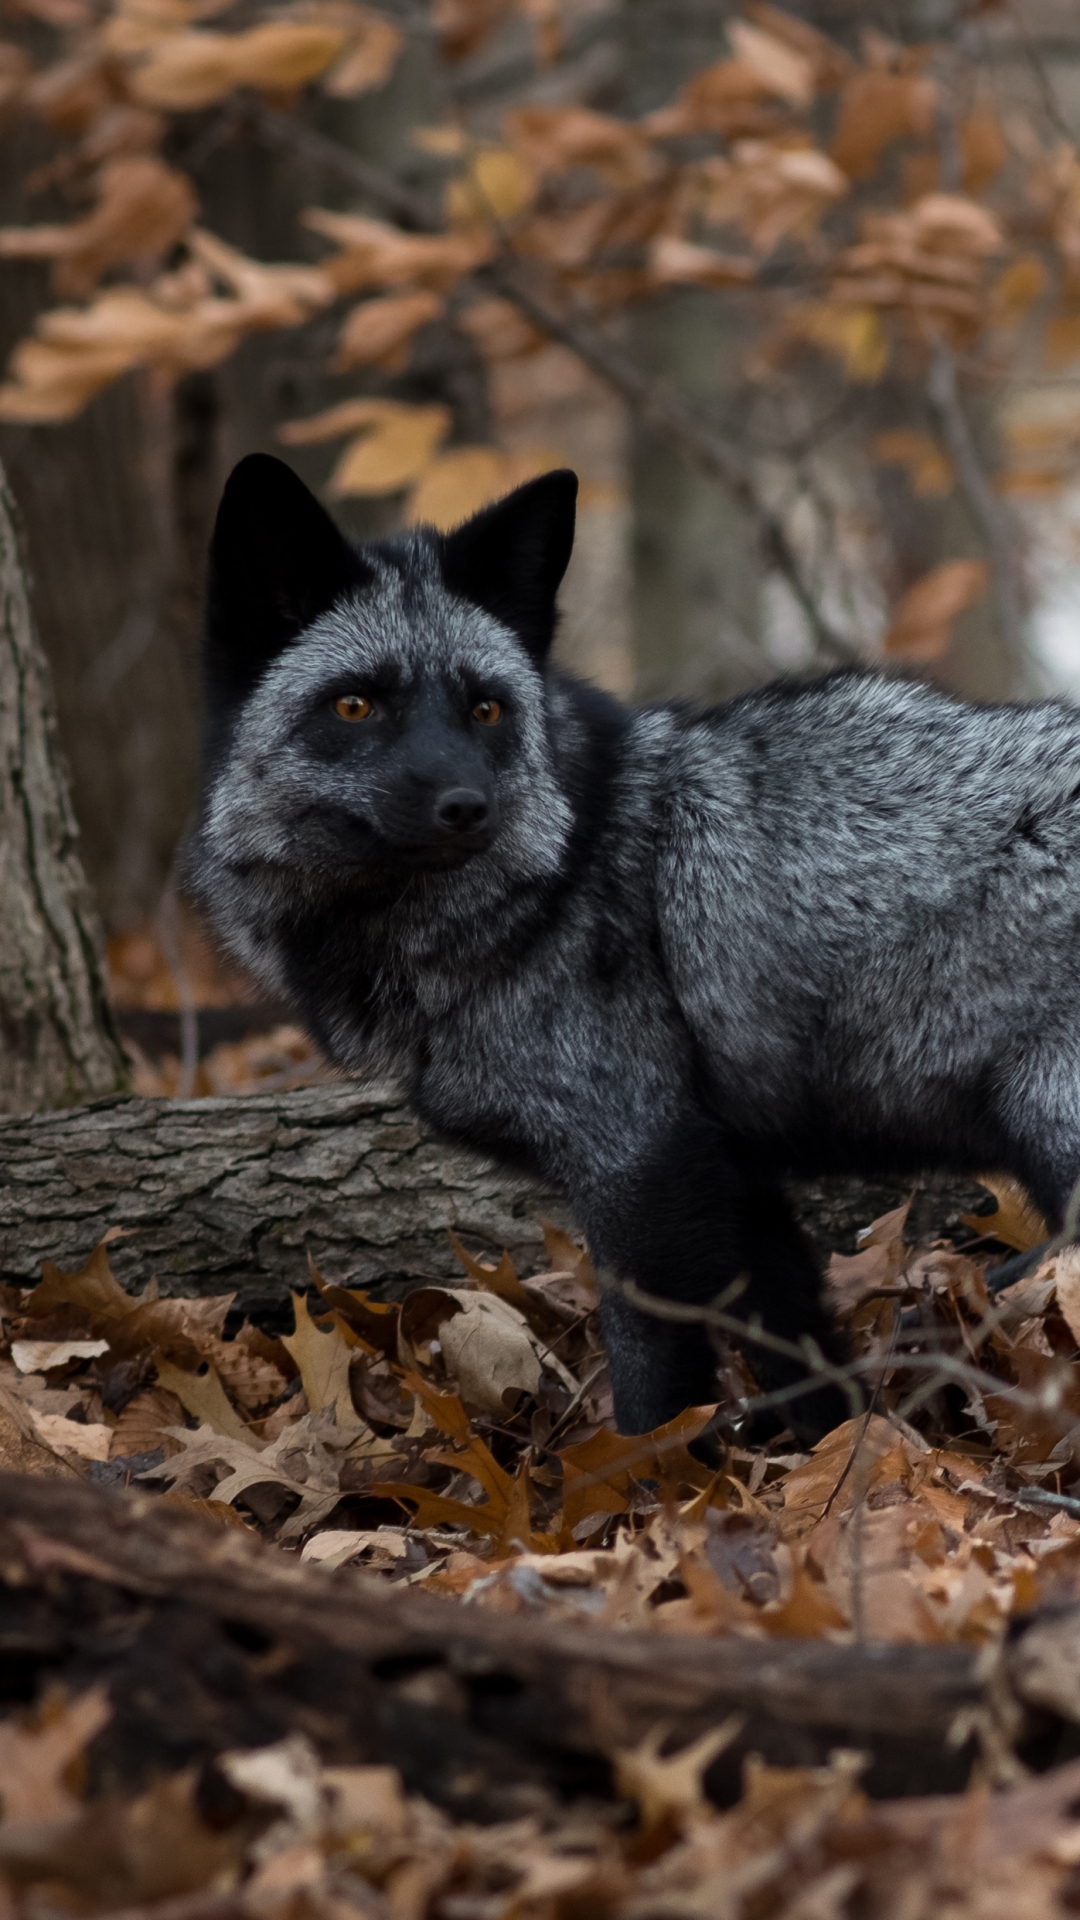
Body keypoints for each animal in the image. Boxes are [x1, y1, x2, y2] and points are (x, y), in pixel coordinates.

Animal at [191, 453, 1076, 1443]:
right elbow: (800, 1354)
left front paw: (642, 1481)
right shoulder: (730, 1171)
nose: (467, 806)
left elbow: (653, 1378)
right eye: (354, 704)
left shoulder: (640, 1155)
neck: (564, 864)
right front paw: (835, 1455)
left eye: (485, 709)